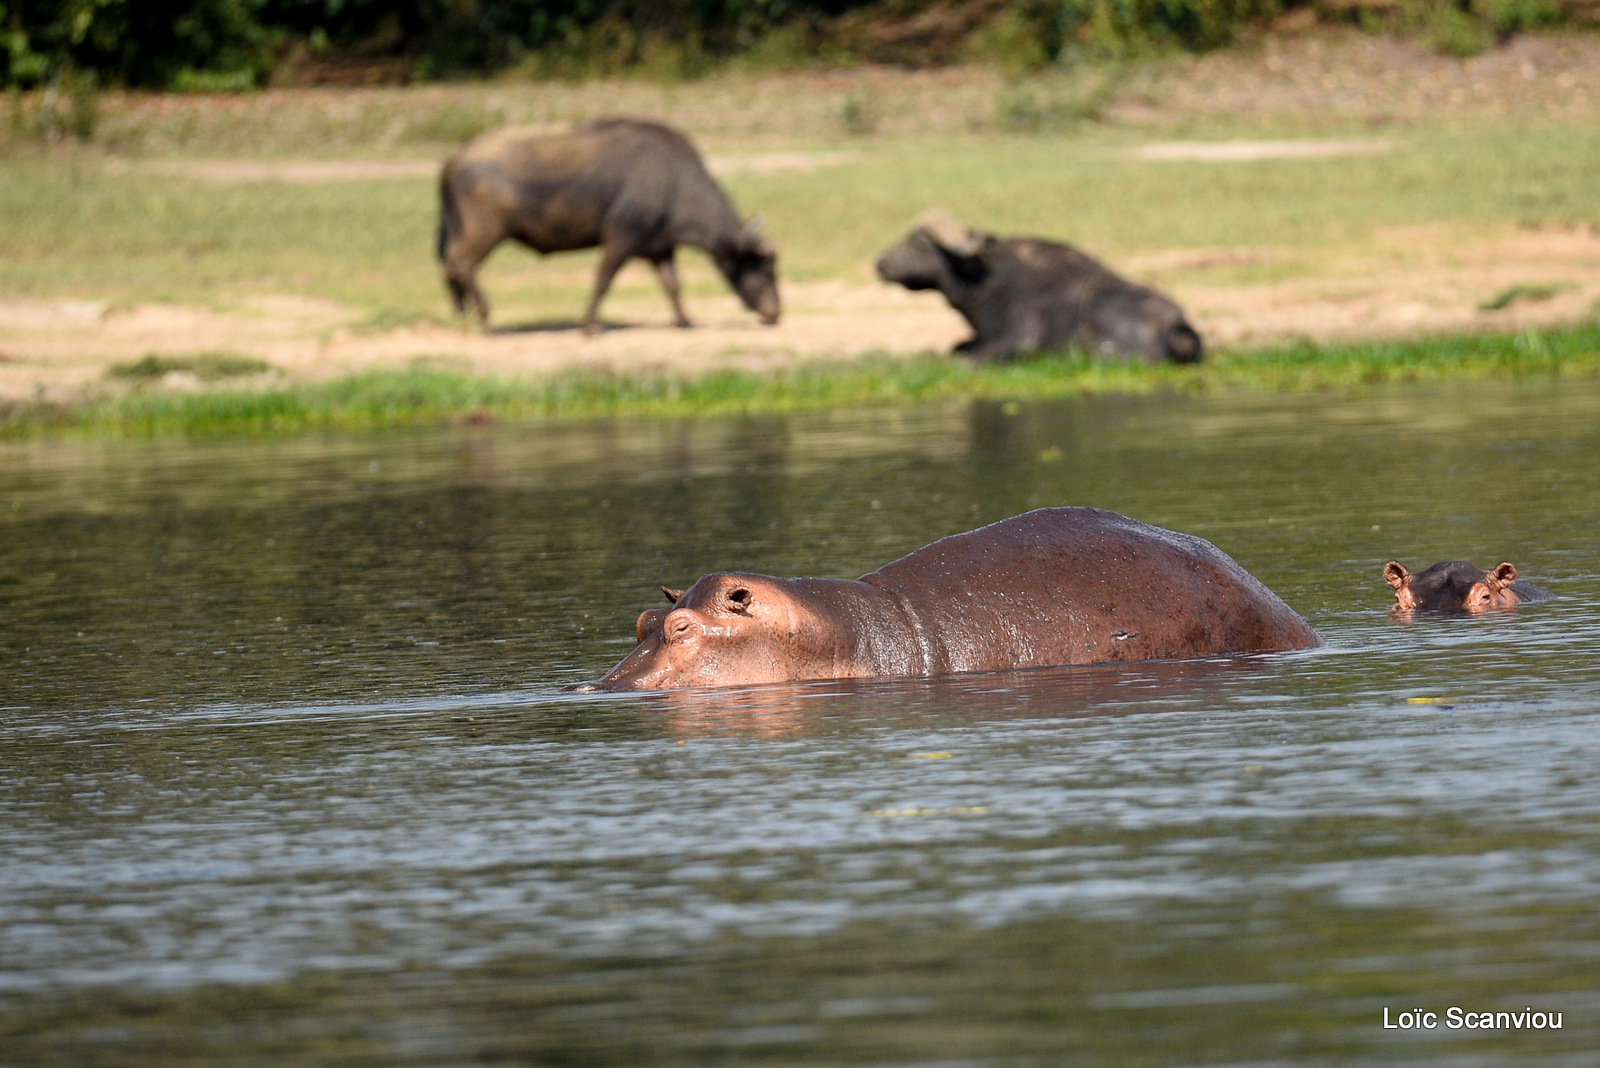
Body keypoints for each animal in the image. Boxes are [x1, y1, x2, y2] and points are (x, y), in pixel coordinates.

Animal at [435, 119, 777, 330]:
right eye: (763, 266)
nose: (775, 310)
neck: (672, 181)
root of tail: (454, 160)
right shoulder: (620, 239)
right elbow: (603, 279)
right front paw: (589, 325)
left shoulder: (660, 248)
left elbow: (672, 284)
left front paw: (684, 320)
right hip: (485, 231)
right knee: (462, 265)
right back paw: (483, 314)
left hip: (462, 231)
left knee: (450, 268)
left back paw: (462, 316)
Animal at [876, 211, 1203, 364]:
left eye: (918, 243)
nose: (881, 263)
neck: (987, 279)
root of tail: (1177, 324)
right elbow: (958, 346)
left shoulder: (1019, 338)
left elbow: (964, 357)